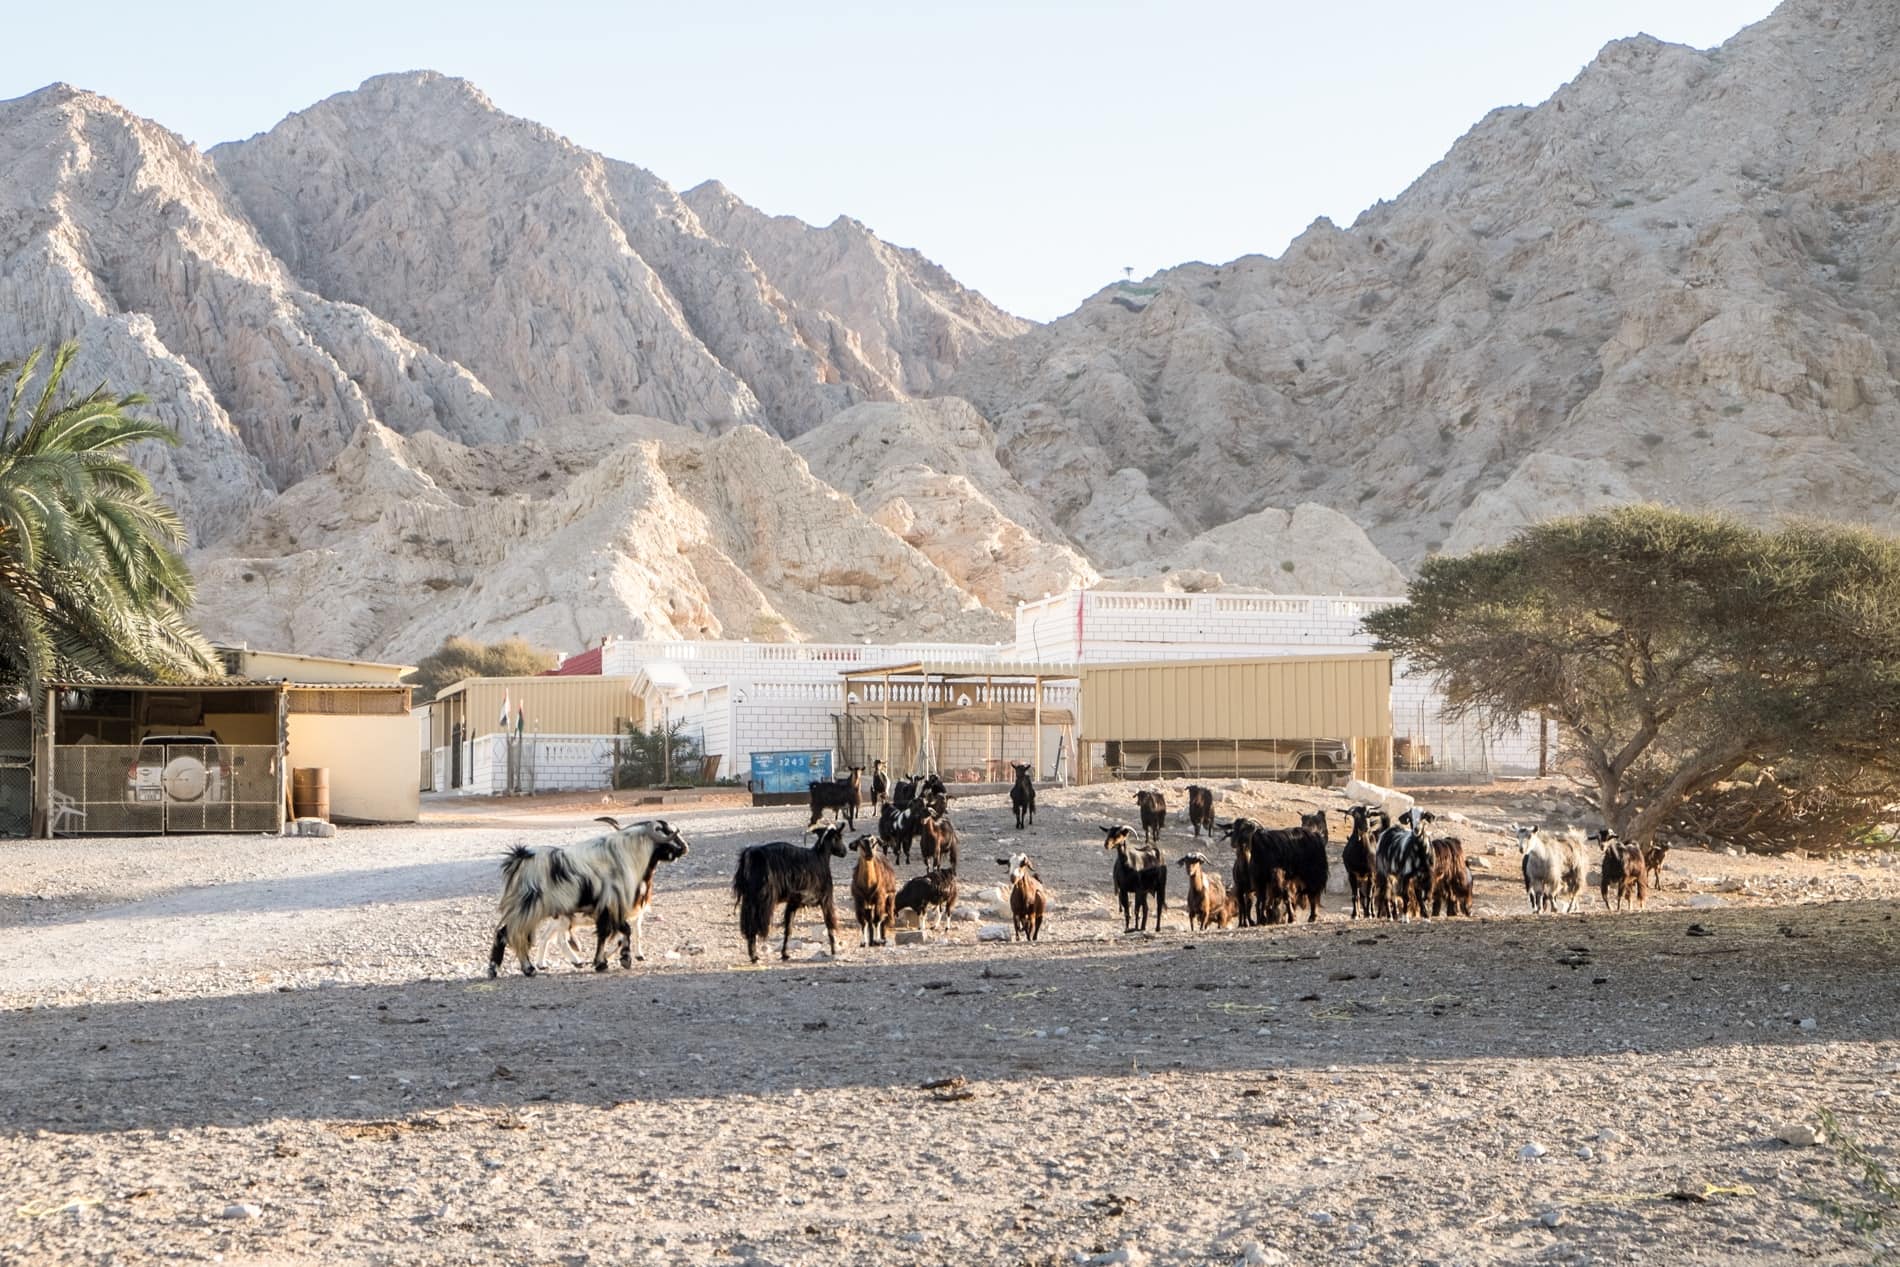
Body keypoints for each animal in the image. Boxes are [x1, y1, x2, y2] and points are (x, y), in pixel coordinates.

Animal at [725, 824, 847, 961]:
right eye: (838, 837)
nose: (844, 852)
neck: (820, 858)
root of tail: (751, 854)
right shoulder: (826, 899)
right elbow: (829, 924)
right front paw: (834, 951)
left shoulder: (792, 903)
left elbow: (788, 928)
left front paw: (785, 954)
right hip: (762, 900)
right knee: (754, 925)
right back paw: (754, 956)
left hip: (749, 899)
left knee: (748, 924)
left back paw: (753, 954)